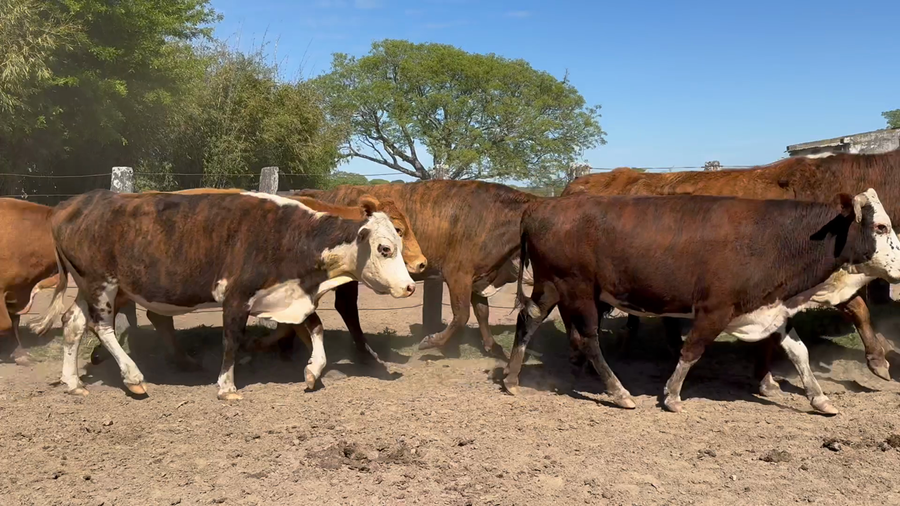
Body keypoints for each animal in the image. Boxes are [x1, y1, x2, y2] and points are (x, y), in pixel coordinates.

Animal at [30, 189, 416, 399]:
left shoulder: (286, 294)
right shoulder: (236, 297)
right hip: (102, 284)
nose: (410, 285)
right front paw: (227, 386)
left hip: (87, 286)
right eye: (384, 248)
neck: (289, 235)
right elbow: (232, 340)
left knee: (72, 323)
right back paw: (133, 378)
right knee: (102, 327)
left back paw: (73, 383)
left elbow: (315, 327)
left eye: (397, 243)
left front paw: (312, 372)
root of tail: (73, 205)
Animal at [292, 180, 542, 355]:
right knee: (346, 307)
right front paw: (432, 341)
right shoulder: (458, 273)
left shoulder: (479, 275)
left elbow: (482, 312)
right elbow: (462, 314)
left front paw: (492, 345)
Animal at [504, 189, 900, 415]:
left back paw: (511, 377)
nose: (899, 267)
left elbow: (799, 353)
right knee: (588, 339)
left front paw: (819, 398)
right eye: (880, 227)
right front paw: (671, 395)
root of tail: (541, 208)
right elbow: (692, 348)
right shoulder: (715, 309)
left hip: (551, 286)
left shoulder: (769, 306)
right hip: (578, 289)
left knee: (528, 319)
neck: (776, 237)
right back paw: (618, 391)